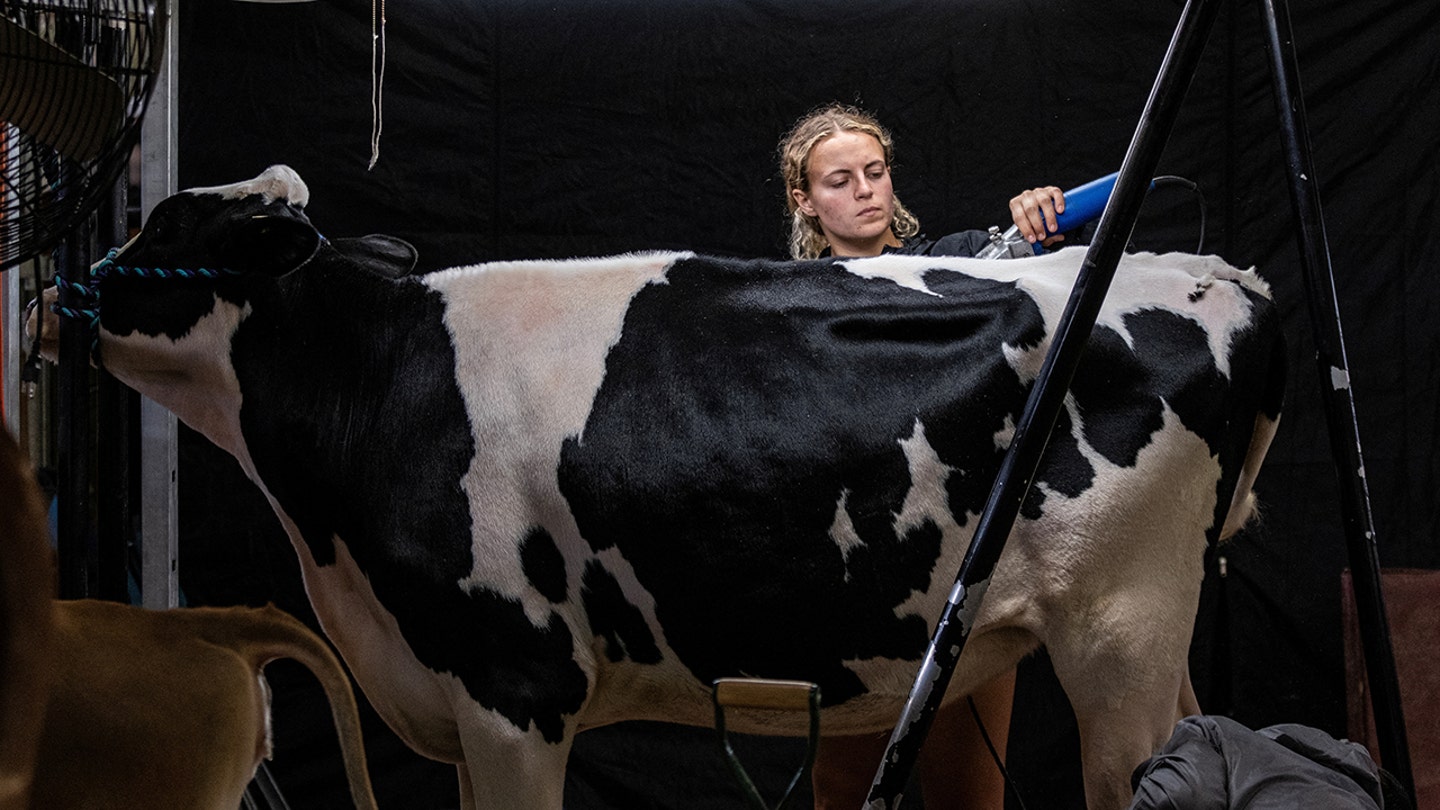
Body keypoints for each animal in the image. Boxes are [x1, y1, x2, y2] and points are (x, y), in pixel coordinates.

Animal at [33, 165, 1278, 807]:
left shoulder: (516, 684)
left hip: (1118, 631)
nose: (62, 286)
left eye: (163, 220)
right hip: (1149, 635)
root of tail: (1213, 271)